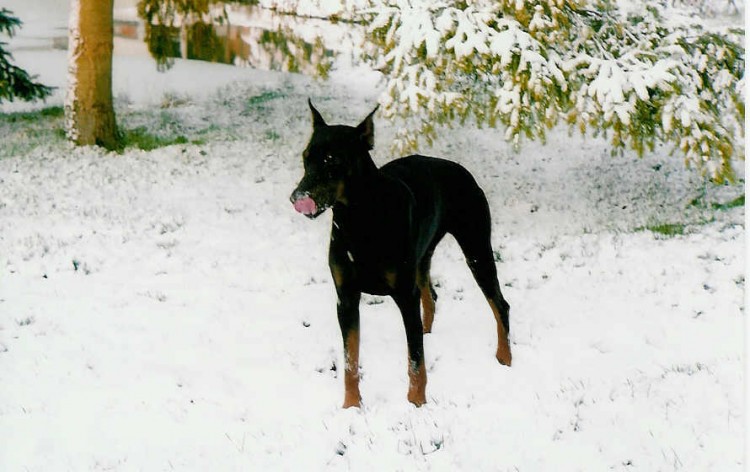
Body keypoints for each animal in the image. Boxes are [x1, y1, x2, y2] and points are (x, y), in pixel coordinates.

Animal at [288, 98, 512, 406]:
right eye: (305, 156)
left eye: (332, 160)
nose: (297, 197)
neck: (360, 221)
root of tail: (462, 170)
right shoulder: (346, 298)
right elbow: (350, 359)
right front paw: (351, 405)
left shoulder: (405, 295)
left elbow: (415, 359)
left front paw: (416, 403)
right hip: (423, 253)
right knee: (430, 297)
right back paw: (428, 331)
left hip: (476, 248)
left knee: (499, 304)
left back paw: (505, 357)